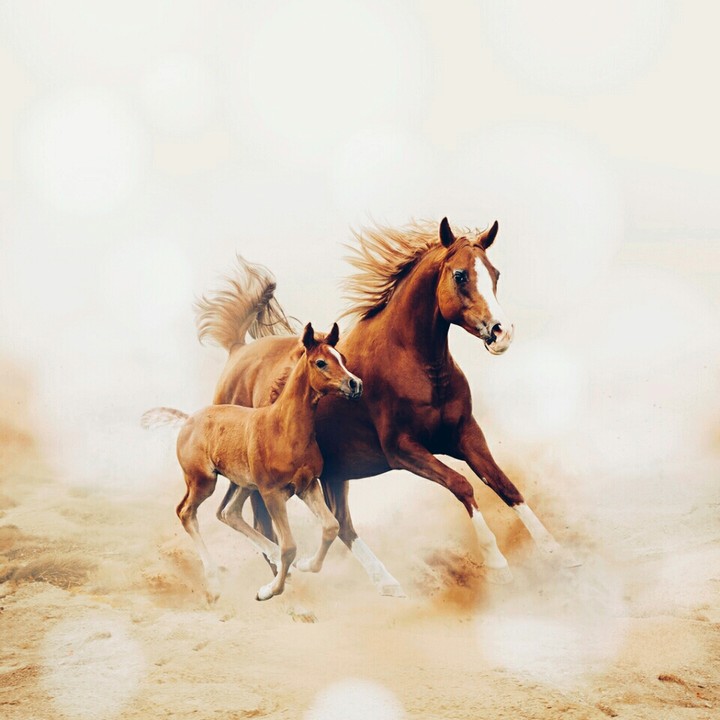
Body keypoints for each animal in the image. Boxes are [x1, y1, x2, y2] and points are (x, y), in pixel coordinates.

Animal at [142, 323, 363, 602]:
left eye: (342, 358)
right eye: (321, 362)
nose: (355, 384)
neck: (283, 429)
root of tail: (188, 420)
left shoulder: (307, 486)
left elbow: (331, 527)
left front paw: (305, 565)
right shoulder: (271, 493)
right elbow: (289, 546)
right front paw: (268, 591)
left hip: (243, 484)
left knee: (229, 512)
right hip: (203, 482)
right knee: (186, 512)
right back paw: (214, 581)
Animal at [196, 217, 576, 597]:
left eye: (495, 273)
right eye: (460, 275)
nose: (502, 333)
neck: (414, 364)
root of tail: (237, 351)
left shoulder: (466, 435)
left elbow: (504, 484)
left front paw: (558, 553)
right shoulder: (403, 450)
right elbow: (463, 485)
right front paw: (498, 564)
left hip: (334, 472)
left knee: (340, 524)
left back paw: (384, 581)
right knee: (258, 518)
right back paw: (282, 576)